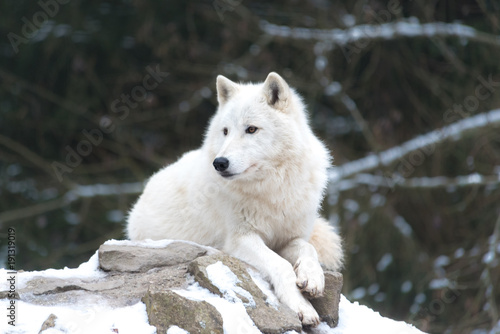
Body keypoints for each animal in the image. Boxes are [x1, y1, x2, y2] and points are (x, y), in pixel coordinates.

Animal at [127, 72, 342, 326]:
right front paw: (301, 306)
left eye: (251, 129)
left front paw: (313, 278)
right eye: (225, 131)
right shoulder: (240, 239)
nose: (219, 163)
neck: (271, 189)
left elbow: (308, 248)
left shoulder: (289, 238)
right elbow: (280, 265)